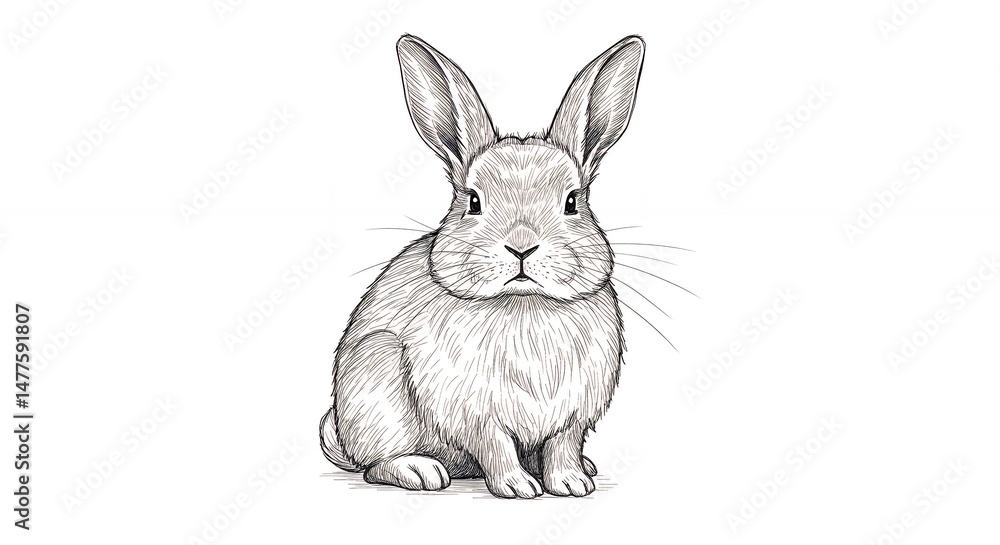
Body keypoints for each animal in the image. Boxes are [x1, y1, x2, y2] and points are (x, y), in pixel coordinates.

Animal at [321, 34, 644, 499]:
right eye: (473, 202)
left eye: (572, 202)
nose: (522, 247)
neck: (525, 304)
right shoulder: (474, 412)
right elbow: (496, 446)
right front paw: (517, 487)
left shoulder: (572, 415)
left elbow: (562, 446)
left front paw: (571, 484)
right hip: (377, 382)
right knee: (374, 465)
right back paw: (420, 471)